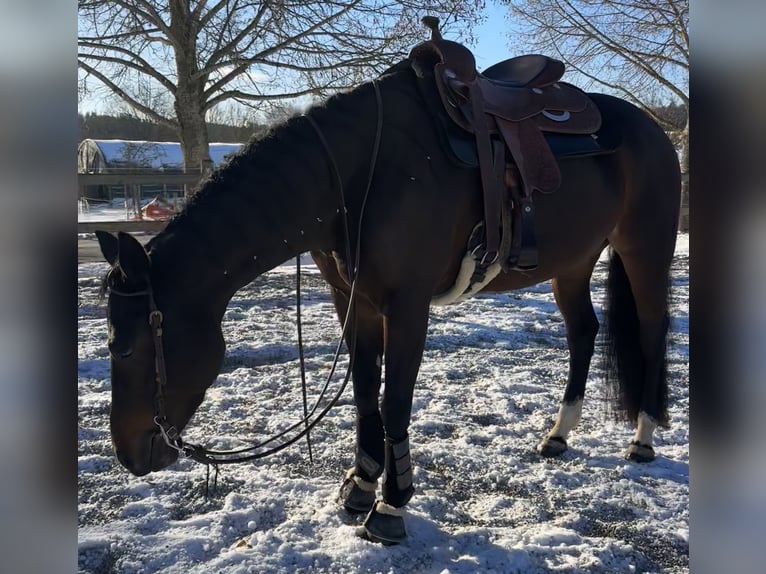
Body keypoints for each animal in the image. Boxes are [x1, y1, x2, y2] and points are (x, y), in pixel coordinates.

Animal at [95, 33, 681, 545]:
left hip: (644, 250)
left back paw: (643, 438)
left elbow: (394, 398)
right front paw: (360, 485)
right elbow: (362, 393)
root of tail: (653, 130)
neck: (358, 179)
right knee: (583, 332)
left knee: (652, 333)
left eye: (123, 347)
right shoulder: (354, 303)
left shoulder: (408, 305)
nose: (128, 454)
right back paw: (559, 434)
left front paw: (391, 507)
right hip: (573, 262)